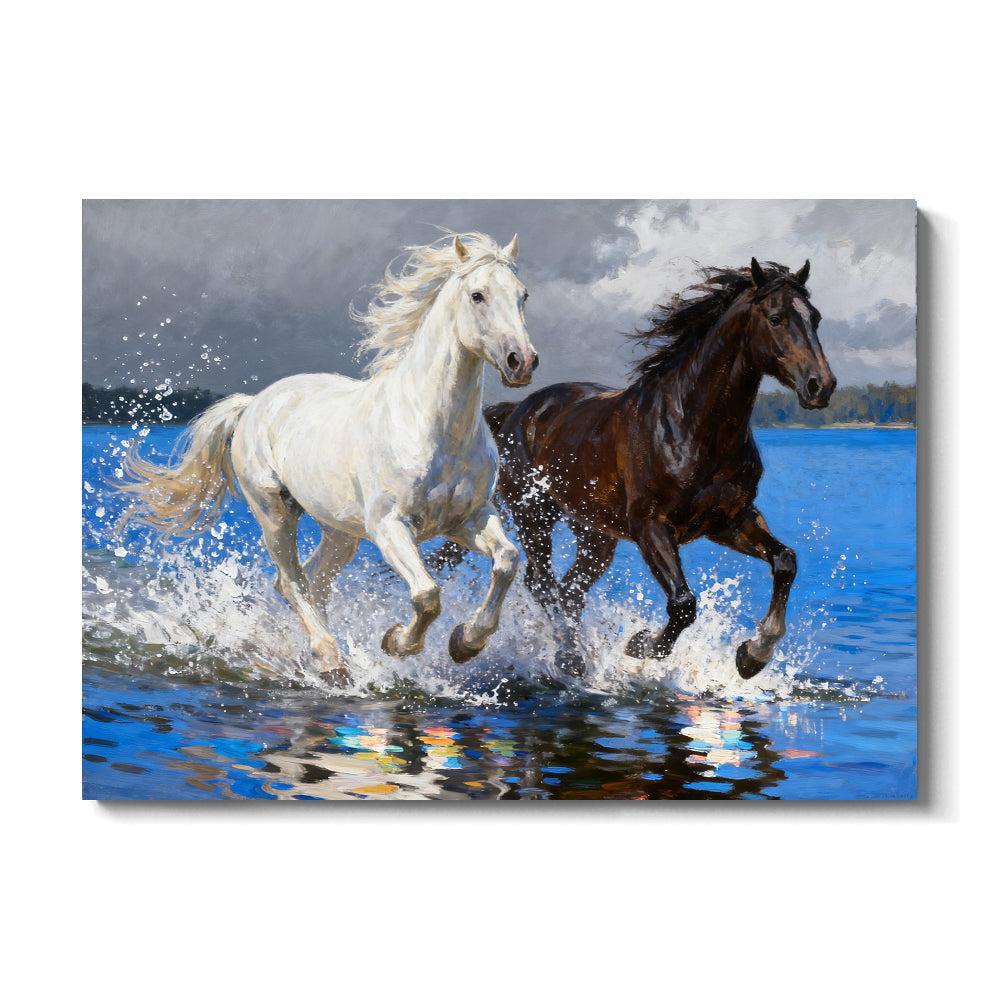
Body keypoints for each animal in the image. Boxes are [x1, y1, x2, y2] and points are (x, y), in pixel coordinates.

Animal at [115, 232, 538, 684]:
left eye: (523, 295)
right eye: (477, 295)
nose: (522, 361)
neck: (431, 427)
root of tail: (254, 404)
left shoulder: (468, 519)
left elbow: (508, 561)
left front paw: (465, 642)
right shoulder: (389, 527)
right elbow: (427, 594)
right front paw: (397, 642)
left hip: (340, 532)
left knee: (314, 582)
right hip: (274, 512)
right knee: (292, 582)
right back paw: (330, 659)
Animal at [448, 258, 835, 679]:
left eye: (815, 318)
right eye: (777, 318)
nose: (821, 385)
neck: (690, 428)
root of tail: (515, 412)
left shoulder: (729, 521)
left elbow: (785, 562)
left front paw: (753, 655)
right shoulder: (651, 526)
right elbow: (683, 604)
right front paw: (641, 644)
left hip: (595, 534)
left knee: (569, 591)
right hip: (534, 517)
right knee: (544, 585)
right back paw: (566, 658)